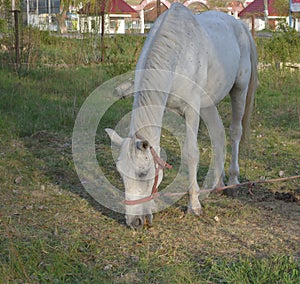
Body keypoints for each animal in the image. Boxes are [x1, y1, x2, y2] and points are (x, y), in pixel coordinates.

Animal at [105, 3, 258, 230]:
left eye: (143, 173)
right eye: (121, 174)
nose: (135, 222)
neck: (177, 53)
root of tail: (240, 25)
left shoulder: (191, 109)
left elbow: (191, 153)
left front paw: (193, 204)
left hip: (239, 89)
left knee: (234, 133)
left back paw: (232, 182)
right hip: (208, 103)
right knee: (218, 134)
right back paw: (217, 183)